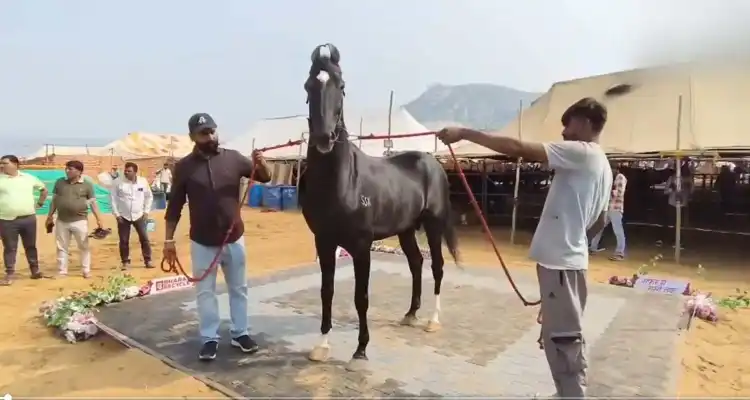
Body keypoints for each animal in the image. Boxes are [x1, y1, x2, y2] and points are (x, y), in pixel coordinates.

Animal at [300, 43, 460, 371]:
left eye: (341, 86)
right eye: (309, 86)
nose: (324, 138)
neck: (343, 183)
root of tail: (433, 163)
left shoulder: (361, 246)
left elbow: (361, 297)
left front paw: (360, 350)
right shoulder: (324, 242)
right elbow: (326, 291)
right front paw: (321, 346)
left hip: (433, 226)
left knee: (436, 266)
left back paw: (432, 320)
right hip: (407, 230)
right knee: (416, 263)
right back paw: (410, 314)